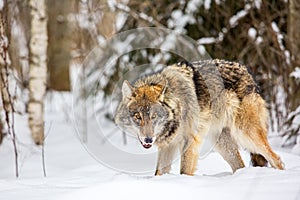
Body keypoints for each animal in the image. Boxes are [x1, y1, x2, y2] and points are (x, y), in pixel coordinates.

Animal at [114, 59, 284, 175]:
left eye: (154, 116)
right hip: (222, 144)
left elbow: (184, 171)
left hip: (247, 135)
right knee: (240, 166)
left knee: (276, 159)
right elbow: (158, 173)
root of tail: (248, 73)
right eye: (137, 116)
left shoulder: (190, 141)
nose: (148, 140)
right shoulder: (167, 146)